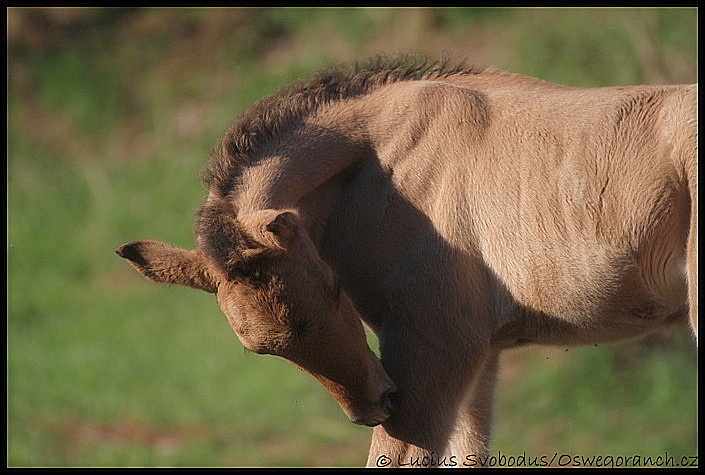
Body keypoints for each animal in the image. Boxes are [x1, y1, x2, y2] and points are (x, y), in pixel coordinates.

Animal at [118, 55, 696, 468]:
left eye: (334, 288)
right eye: (259, 349)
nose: (373, 405)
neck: (379, 165)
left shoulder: (433, 348)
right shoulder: (481, 354)